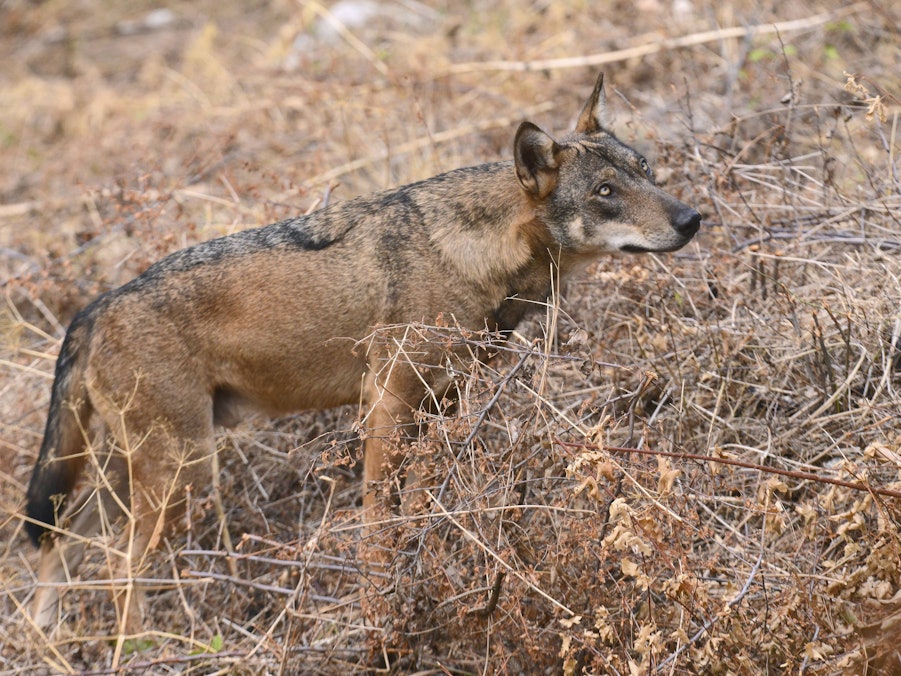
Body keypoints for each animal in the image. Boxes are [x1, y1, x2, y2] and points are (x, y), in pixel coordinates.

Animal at [25, 73, 700, 631]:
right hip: (181, 474)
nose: (693, 219)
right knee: (115, 570)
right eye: (606, 191)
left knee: (62, 541)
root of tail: (94, 307)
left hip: (143, 473)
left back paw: (46, 634)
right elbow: (378, 522)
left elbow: (419, 509)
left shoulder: (441, 406)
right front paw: (378, 605)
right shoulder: (386, 401)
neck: (476, 253)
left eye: (646, 169)